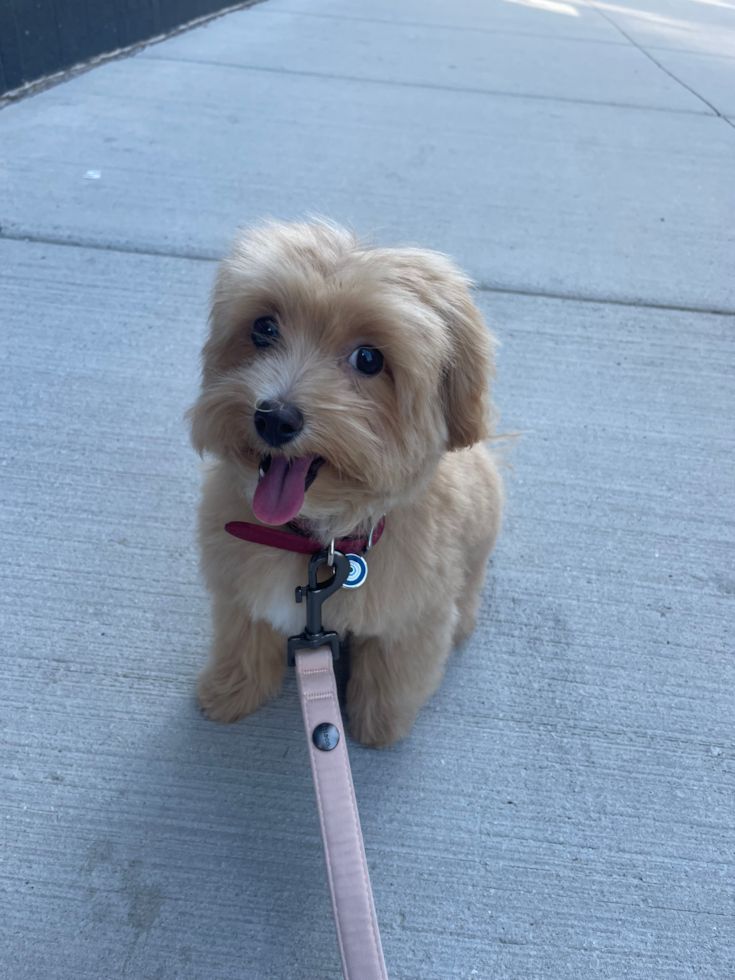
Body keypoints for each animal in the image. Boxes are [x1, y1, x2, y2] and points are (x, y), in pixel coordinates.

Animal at [187, 218, 504, 748]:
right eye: (264, 328)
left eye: (369, 359)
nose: (274, 418)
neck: (316, 537)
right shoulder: (239, 595)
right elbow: (243, 642)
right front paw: (231, 692)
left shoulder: (412, 618)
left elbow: (394, 674)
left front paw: (379, 727)